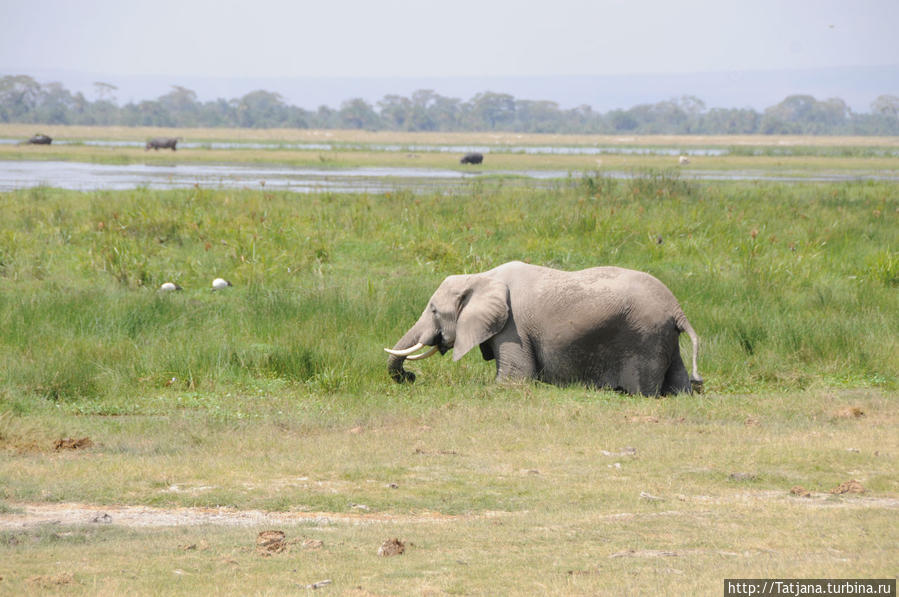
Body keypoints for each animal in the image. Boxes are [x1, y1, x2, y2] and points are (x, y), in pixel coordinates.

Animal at [386, 260, 704, 396]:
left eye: (434, 310)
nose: (411, 377)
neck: (480, 276)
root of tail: (678, 310)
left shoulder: (512, 327)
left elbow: (515, 378)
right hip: (662, 337)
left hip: (644, 338)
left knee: (643, 390)